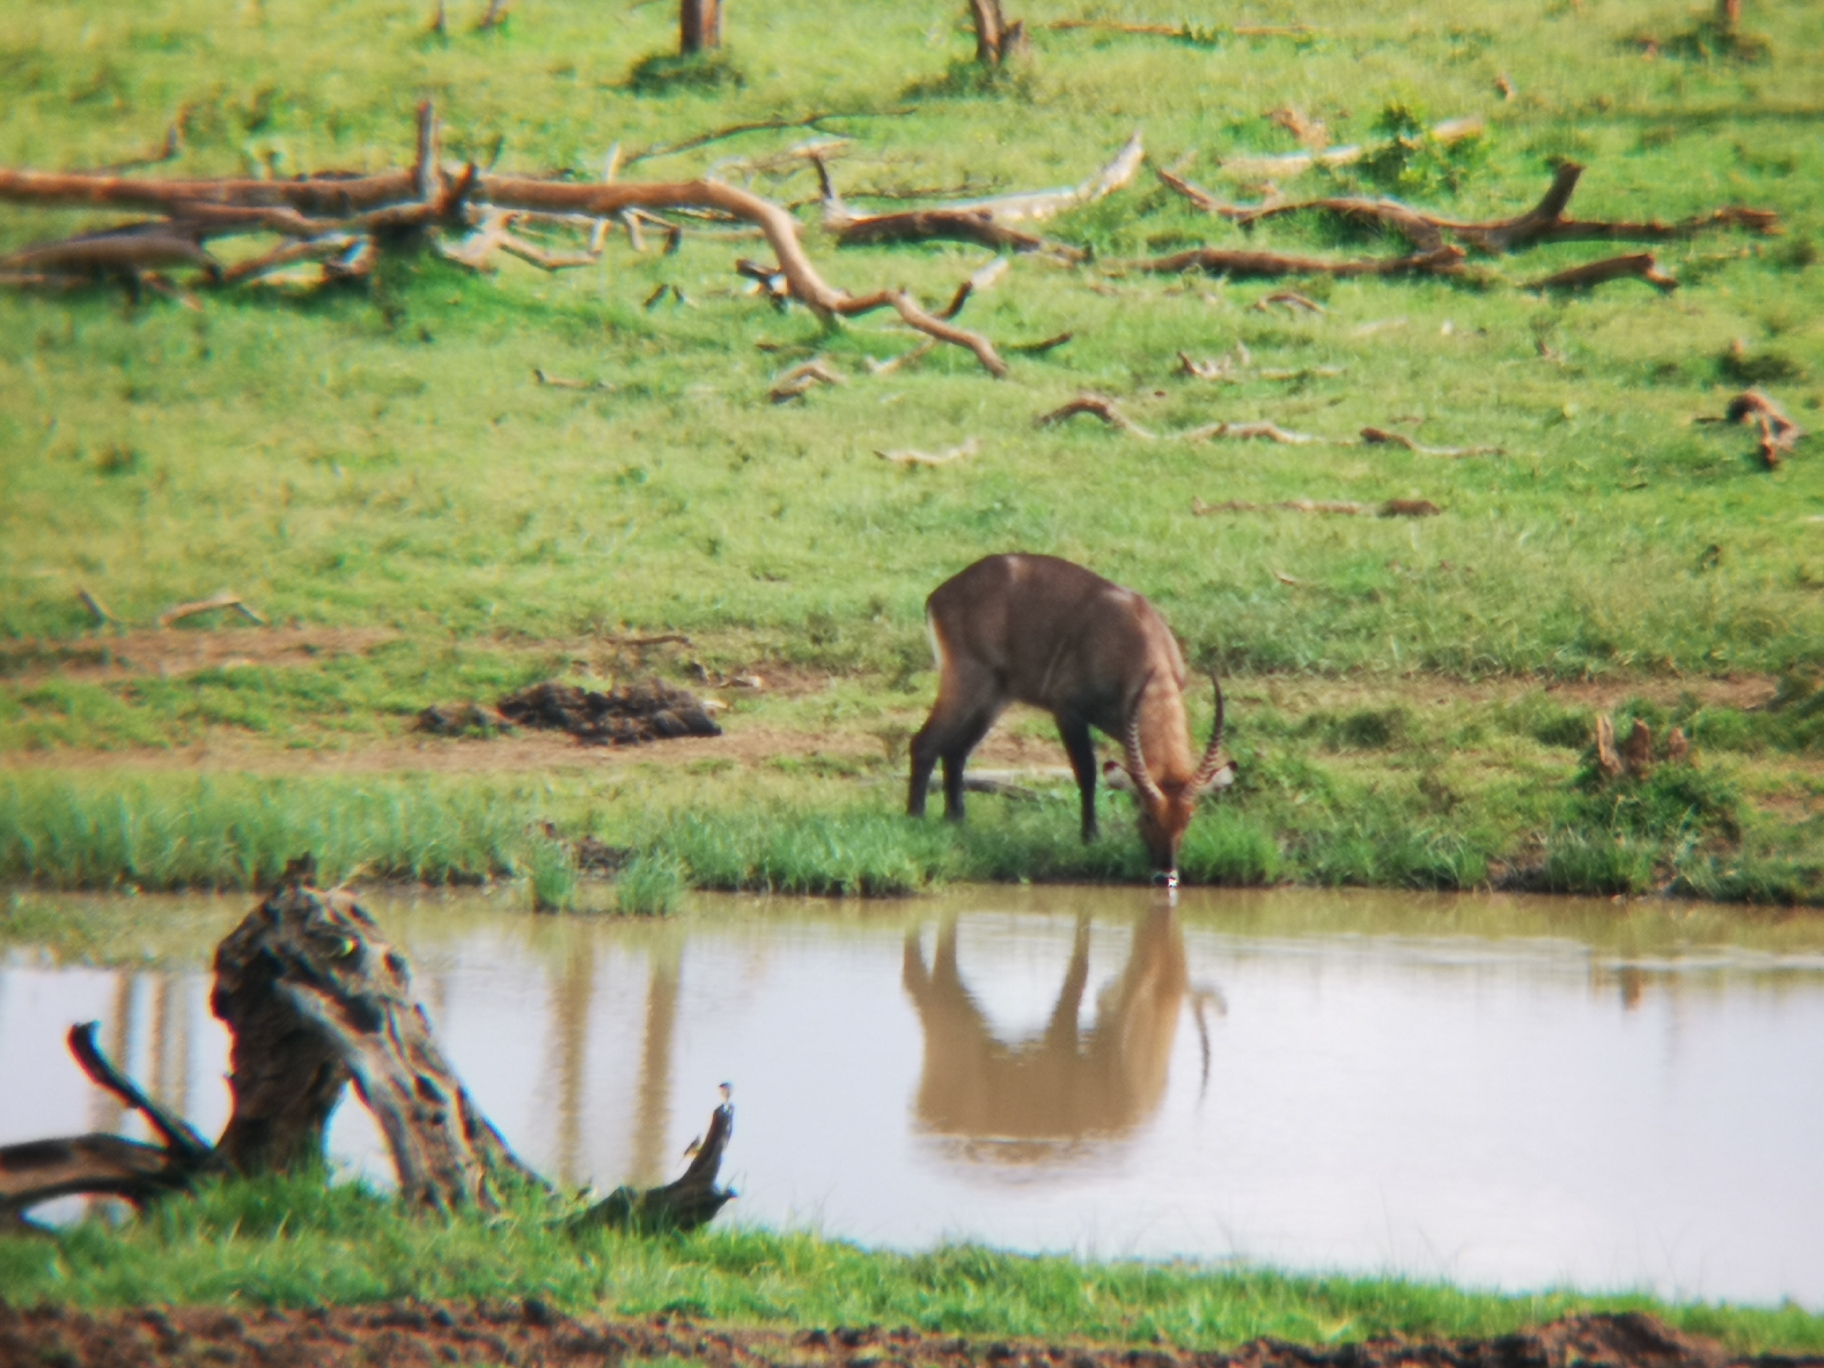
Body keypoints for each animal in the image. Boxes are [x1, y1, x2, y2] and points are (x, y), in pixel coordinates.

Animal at [912, 554, 1240, 882]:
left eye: (1189, 817)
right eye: (1147, 813)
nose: (1165, 874)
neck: (1136, 635)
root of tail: (940, 593)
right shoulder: (1069, 711)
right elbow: (1088, 771)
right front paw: (1090, 837)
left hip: (994, 697)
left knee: (955, 751)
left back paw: (956, 821)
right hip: (967, 683)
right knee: (924, 743)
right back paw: (915, 817)